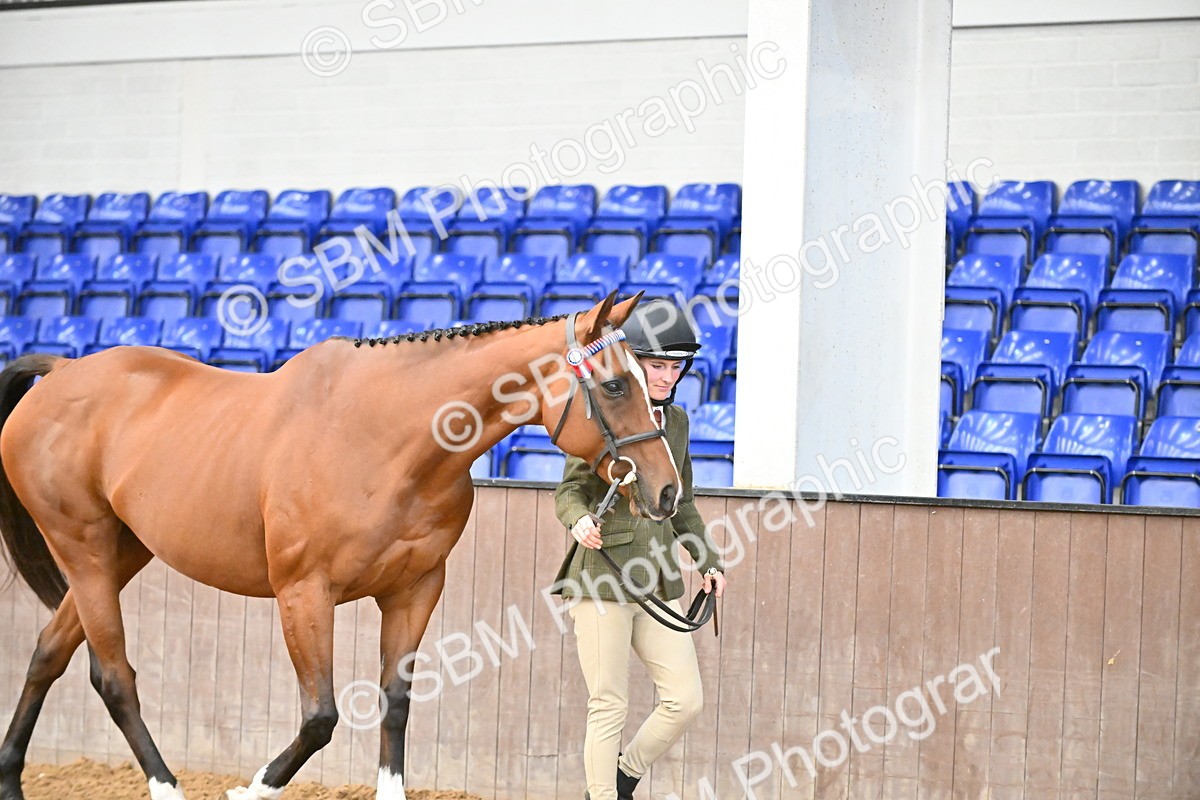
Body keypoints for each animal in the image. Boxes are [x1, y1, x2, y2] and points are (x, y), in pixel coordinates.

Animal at [0, 292, 680, 800]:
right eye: (615, 387)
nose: (667, 490)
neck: (387, 438)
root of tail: (62, 373)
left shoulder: (414, 590)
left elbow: (396, 702)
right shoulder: (305, 592)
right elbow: (321, 715)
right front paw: (252, 787)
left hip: (122, 552)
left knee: (48, 654)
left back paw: (11, 779)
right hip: (84, 549)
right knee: (112, 674)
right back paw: (165, 786)